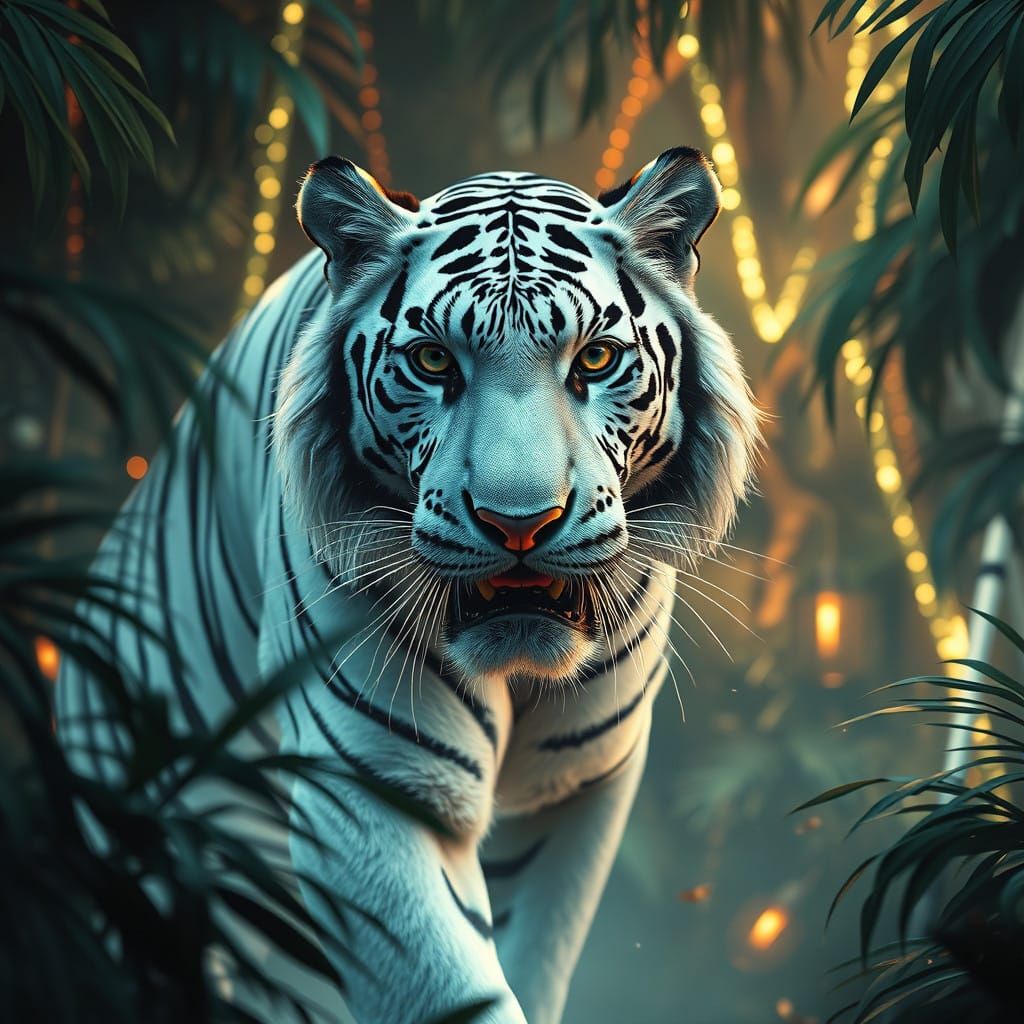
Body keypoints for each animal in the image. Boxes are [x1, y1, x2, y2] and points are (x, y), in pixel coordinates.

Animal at [57, 146, 759, 1024]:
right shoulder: (372, 785)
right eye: (433, 361)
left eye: (595, 358)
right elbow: (449, 987)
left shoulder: (576, 783)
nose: (519, 523)